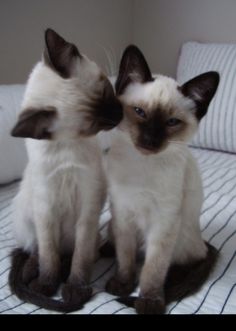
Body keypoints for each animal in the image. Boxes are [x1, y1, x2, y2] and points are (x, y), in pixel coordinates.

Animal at [8, 28, 122, 314]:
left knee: (77, 254)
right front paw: (46, 285)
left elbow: (80, 259)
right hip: (28, 216)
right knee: (36, 250)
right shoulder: (45, 208)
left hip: (88, 231)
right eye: (92, 125)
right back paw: (32, 273)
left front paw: (75, 287)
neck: (68, 148)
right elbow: (48, 255)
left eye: (107, 90)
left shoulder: (88, 208)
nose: (119, 115)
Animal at [102, 45, 220, 316]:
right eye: (139, 112)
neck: (142, 164)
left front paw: (149, 301)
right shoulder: (123, 214)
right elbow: (125, 258)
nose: (150, 140)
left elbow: (152, 269)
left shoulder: (163, 223)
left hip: (181, 239)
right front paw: (122, 284)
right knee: (119, 244)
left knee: (189, 261)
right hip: (116, 222)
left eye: (172, 122)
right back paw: (106, 249)